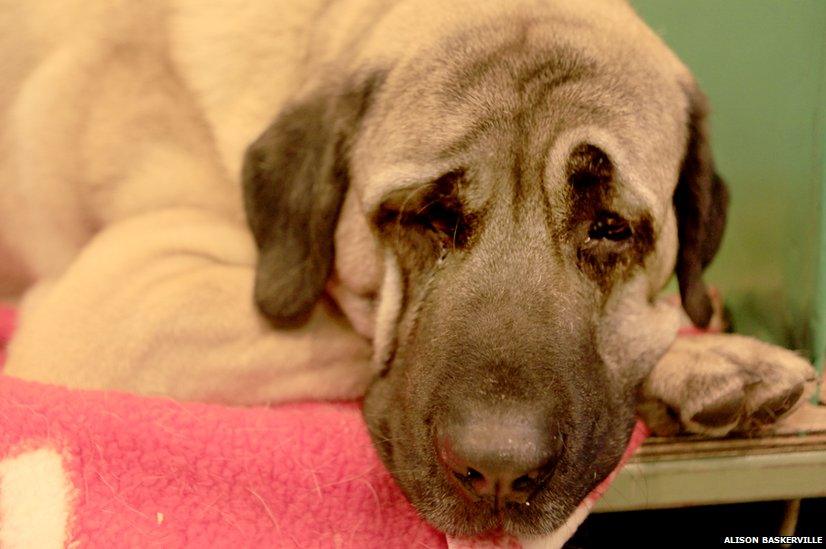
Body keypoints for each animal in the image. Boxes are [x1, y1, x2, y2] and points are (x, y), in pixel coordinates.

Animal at [0, 0, 812, 536]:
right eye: (427, 215)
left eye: (610, 227)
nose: (498, 470)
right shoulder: (117, 306)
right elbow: (352, 332)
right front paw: (709, 357)